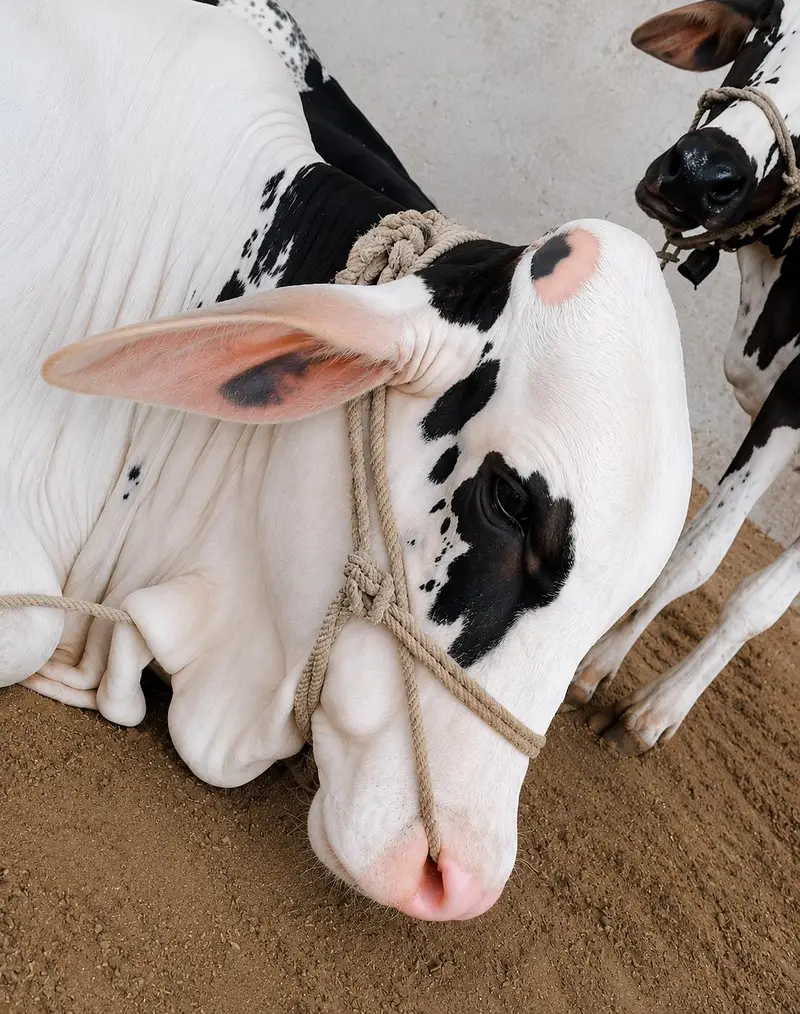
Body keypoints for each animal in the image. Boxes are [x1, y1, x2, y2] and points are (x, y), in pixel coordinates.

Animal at [568, 0, 800, 755]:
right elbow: (691, 552)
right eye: (768, 25)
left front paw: (658, 709)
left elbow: (756, 594)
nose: (701, 172)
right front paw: (597, 663)